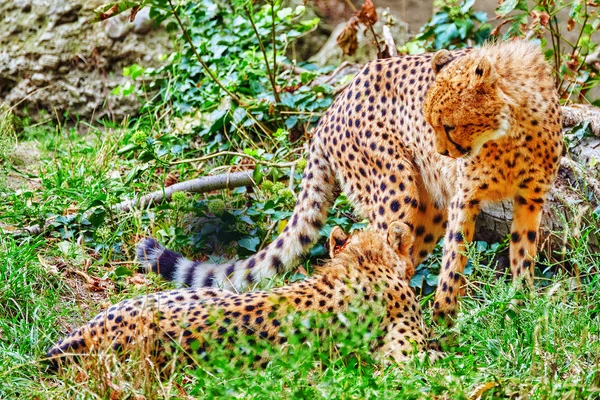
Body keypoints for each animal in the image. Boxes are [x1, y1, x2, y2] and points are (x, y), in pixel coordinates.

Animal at [137, 39, 564, 322]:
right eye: (432, 123)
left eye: (449, 125)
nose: (442, 154)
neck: (510, 128)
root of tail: (329, 111)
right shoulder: (465, 198)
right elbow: (454, 259)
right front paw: (445, 315)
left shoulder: (530, 198)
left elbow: (523, 252)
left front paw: (524, 303)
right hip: (396, 191)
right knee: (377, 247)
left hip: (427, 211)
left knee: (402, 255)